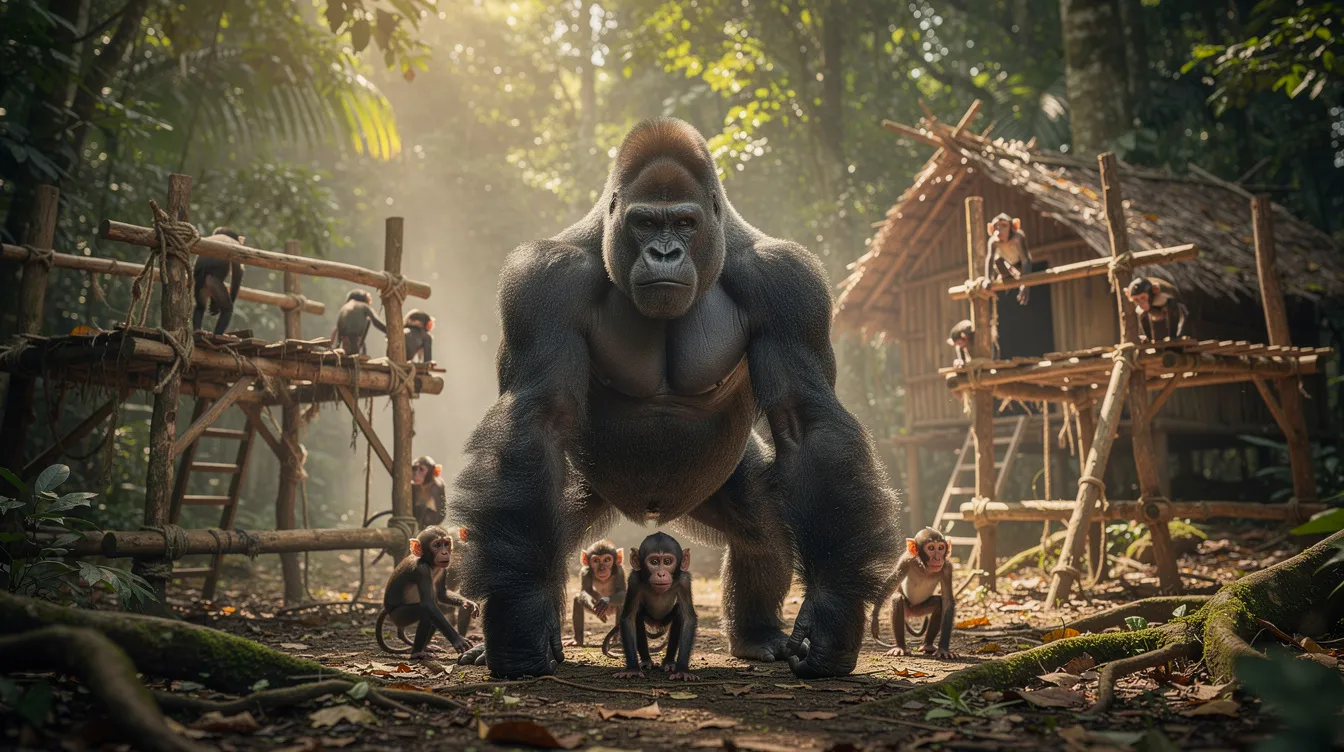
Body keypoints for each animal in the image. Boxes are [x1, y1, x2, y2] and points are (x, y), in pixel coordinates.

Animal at [374, 525, 478, 658]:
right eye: (436, 545)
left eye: (446, 544)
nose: (444, 552)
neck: (429, 562)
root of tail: (388, 611)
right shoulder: (421, 570)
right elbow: (428, 605)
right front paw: (458, 640)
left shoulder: (444, 569)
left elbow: (441, 594)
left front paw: (468, 603)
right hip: (399, 616)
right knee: (425, 612)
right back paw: (416, 653)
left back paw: (426, 648)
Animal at [605, 532, 698, 681]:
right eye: (654, 562)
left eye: (667, 562)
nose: (661, 573)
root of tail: (656, 624)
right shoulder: (634, 581)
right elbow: (628, 618)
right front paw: (632, 669)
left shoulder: (684, 582)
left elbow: (688, 619)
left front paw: (682, 670)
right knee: (637, 615)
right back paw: (646, 661)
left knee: (679, 613)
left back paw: (669, 662)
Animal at [869, 527, 958, 659]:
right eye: (931, 548)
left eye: (941, 548)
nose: (938, 558)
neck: (925, 567)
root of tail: (912, 613)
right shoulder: (906, 560)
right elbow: (891, 583)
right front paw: (874, 618)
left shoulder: (947, 568)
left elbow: (947, 601)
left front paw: (943, 649)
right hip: (908, 608)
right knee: (897, 598)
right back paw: (900, 647)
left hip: (919, 609)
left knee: (938, 603)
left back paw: (927, 645)